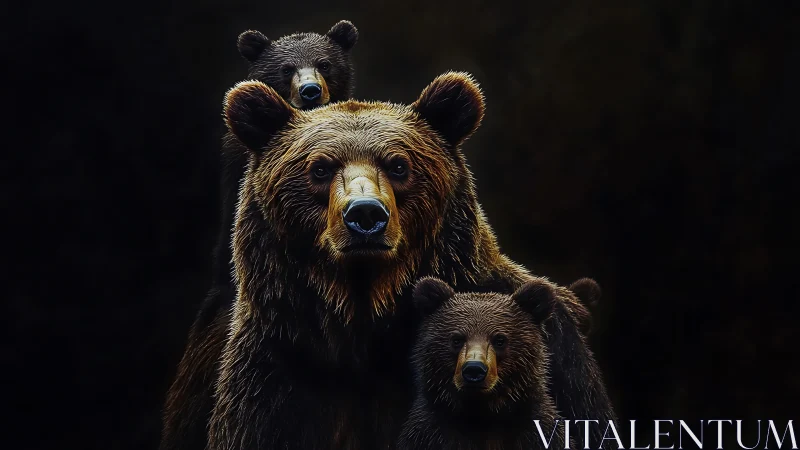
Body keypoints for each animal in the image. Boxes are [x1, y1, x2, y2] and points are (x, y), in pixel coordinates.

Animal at [398, 277, 604, 450]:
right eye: (456, 339)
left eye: (499, 339)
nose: (474, 370)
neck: (483, 416)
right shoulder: (429, 433)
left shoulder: (538, 433)